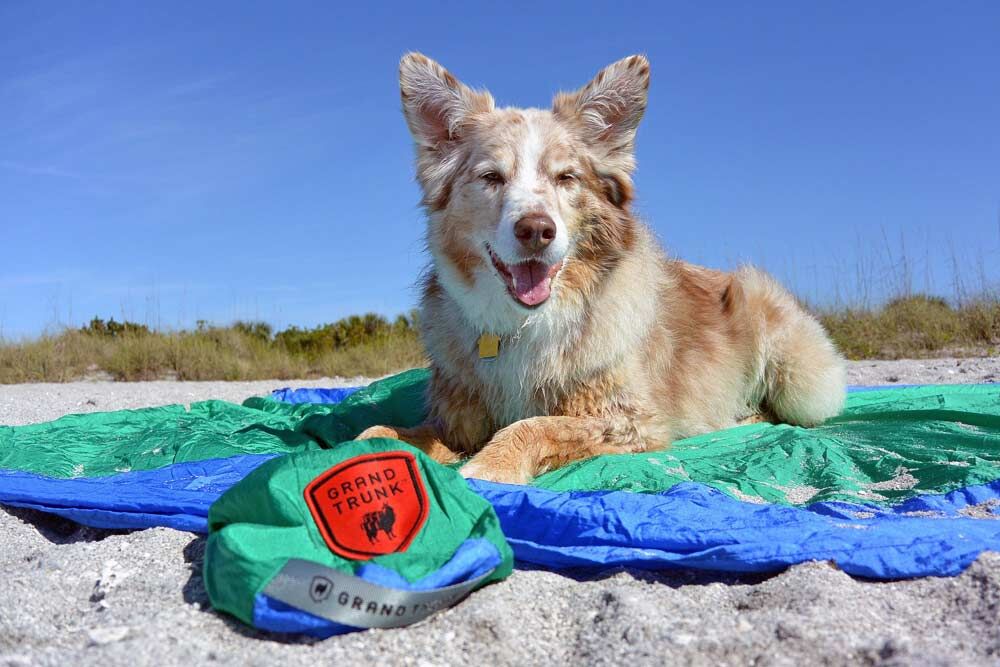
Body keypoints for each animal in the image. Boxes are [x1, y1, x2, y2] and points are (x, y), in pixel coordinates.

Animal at [360, 49, 844, 482]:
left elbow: (533, 425)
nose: (536, 230)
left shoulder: (633, 419)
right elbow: (387, 432)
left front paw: (491, 465)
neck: (523, 325)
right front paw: (371, 446)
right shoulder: (458, 420)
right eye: (491, 178)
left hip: (797, 376)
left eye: (566, 178)